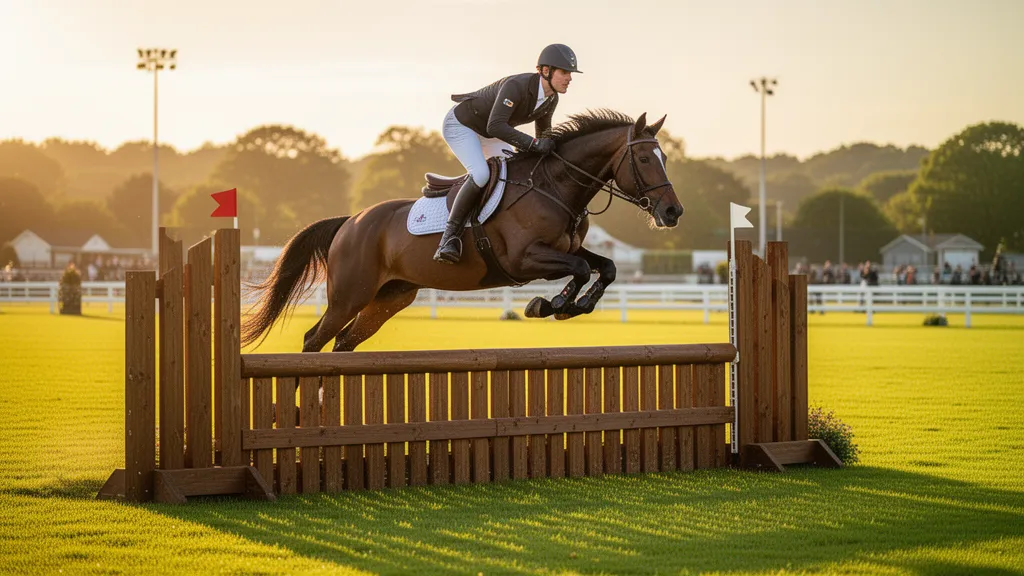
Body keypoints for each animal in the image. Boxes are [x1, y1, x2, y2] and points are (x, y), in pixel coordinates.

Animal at [241, 109, 684, 352]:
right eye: (645, 158)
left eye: (664, 157)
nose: (673, 211)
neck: (555, 185)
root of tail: (350, 222)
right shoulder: (525, 259)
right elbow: (577, 269)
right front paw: (550, 304)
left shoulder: (566, 249)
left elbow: (605, 267)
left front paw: (575, 305)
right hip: (351, 294)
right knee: (314, 339)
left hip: (390, 297)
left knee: (344, 342)